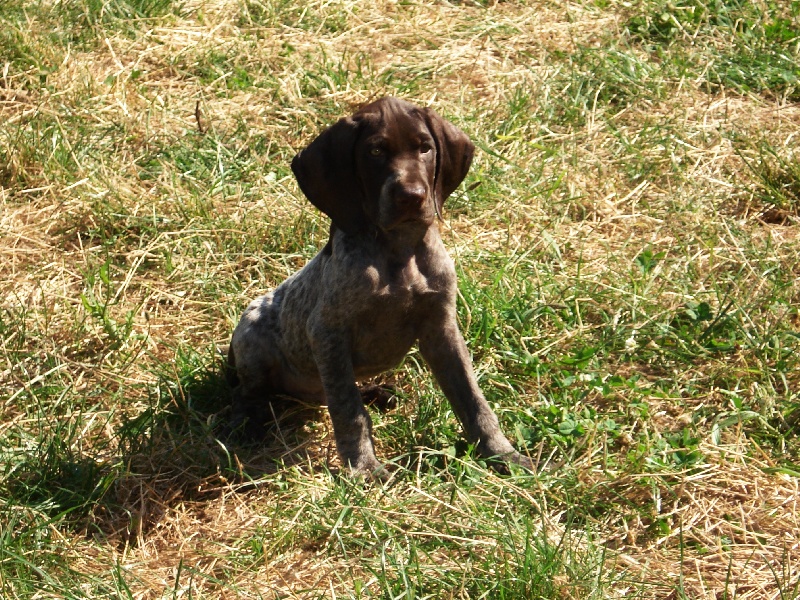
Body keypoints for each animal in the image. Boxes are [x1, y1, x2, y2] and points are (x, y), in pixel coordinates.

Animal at [228, 95, 536, 478]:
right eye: (375, 151)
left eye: (425, 148)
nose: (411, 196)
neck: (399, 251)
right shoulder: (327, 333)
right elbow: (349, 411)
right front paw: (363, 467)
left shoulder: (442, 328)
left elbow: (473, 399)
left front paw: (501, 453)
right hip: (253, 335)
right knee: (249, 393)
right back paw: (248, 423)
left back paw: (376, 391)